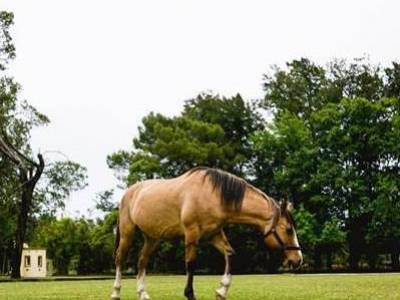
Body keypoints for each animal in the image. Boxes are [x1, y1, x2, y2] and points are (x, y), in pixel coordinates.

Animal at [111, 166, 302, 300]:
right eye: (288, 229)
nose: (298, 260)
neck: (213, 195)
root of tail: (129, 192)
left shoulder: (214, 235)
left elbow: (230, 255)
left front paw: (221, 291)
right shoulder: (191, 235)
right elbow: (191, 264)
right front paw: (190, 294)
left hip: (153, 238)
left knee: (142, 261)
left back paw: (142, 293)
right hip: (128, 233)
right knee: (120, 259)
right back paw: (116, 292)